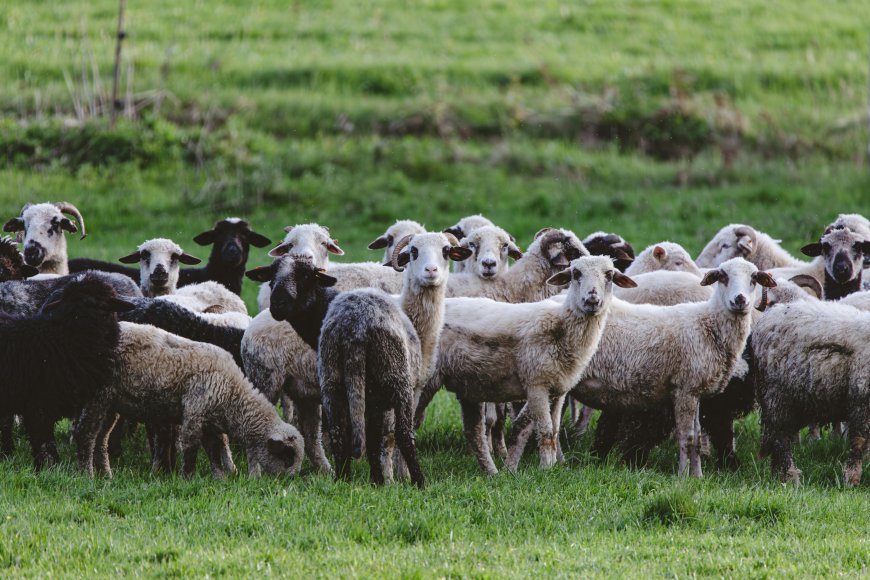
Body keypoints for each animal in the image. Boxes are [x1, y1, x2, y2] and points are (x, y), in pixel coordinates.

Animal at [75, 320, 306, 478]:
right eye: (287, 456)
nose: (289, 480)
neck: (233, 395)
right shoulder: (196, 412)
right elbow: (192, 446)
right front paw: (189, 477)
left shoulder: (210, 420)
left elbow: (216, 447)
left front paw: (222, 475)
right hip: (97, 397)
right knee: (85, 434)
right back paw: (87, 474)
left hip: (110, 403)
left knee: (100, 438)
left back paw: (106, 474)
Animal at [434, 256, 632, 474]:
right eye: (576, 273)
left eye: (610, 275)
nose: (592, 301)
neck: (561, 328)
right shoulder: (537, 385)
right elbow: (545, 431)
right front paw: (545, 469)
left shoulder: (559, 390)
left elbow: (554, 431)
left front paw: (548, 467)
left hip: (469, 385)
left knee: (474, 432)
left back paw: (492, 473)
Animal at [564, 258, 776, 476]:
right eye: (723, 276)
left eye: (754, 278)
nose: (740, 300)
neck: (707, 325)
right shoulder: (684, 389)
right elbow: (687, 437)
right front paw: (683, 476)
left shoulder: (696, 392)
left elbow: (697, 437)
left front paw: (698, 476)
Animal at [752, 300, 870, 484]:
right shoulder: (861, 397)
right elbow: (859, 440)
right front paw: (851, 479)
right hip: (776, 396)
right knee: (780, 436)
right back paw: (791, 477)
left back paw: (778, 475)